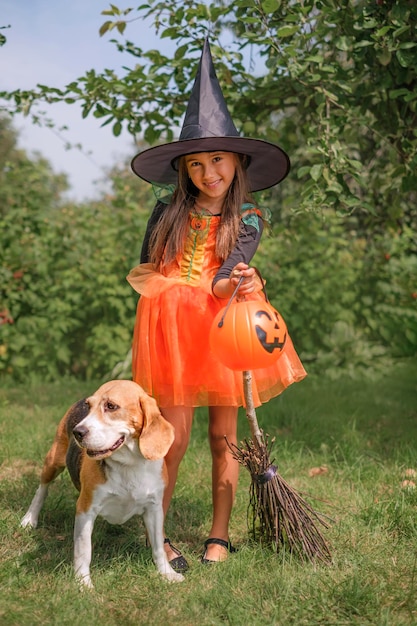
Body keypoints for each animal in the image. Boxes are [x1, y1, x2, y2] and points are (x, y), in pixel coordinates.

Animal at [20, 378, 184, 588]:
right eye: (89, 407)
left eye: (111, 406)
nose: (78, 432)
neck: (129, 465)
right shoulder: (86, 509)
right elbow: (83, 552)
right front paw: (83, 584)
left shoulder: (154, 509)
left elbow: (158, 547)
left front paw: (167, 574)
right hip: (53, 460)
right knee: (42, 490)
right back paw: (29, 519)